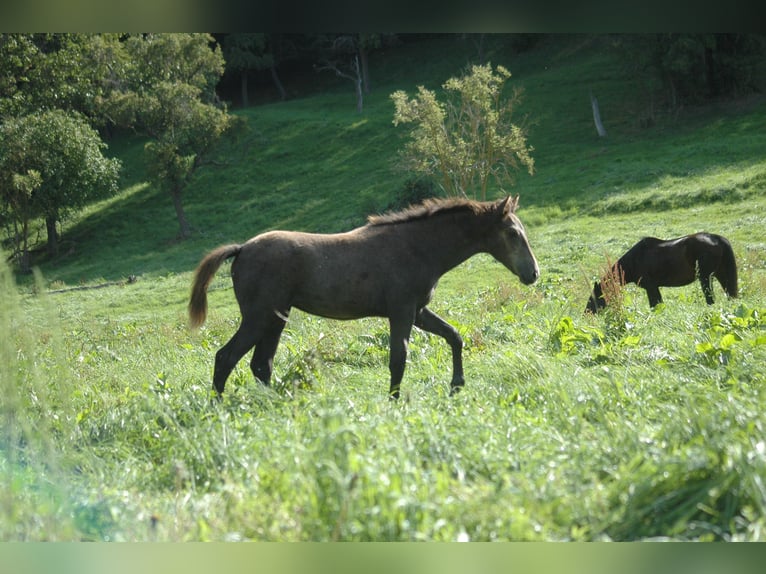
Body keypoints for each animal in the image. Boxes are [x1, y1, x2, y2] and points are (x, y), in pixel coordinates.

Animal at [189, 195, 539, 399]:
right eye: (512, 233)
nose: (533, 273)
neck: (417, 247)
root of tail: (242, 249)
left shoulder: (418, 311)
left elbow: (454, 336)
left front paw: (456, 386)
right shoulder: (401, 311)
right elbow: (398, 358)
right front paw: (394, 402)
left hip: (276, 317)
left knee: (262, 364)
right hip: (259, 316)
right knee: (226, 357)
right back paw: (218, 407)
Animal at [585, 232, 738, 313]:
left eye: (594, 298)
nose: (587, 313)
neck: (635, 259)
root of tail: (716, 238)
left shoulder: (651, 287)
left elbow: (655, 305)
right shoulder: (654, 287)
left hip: (706, 277)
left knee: (710, 298)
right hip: (721, 274)